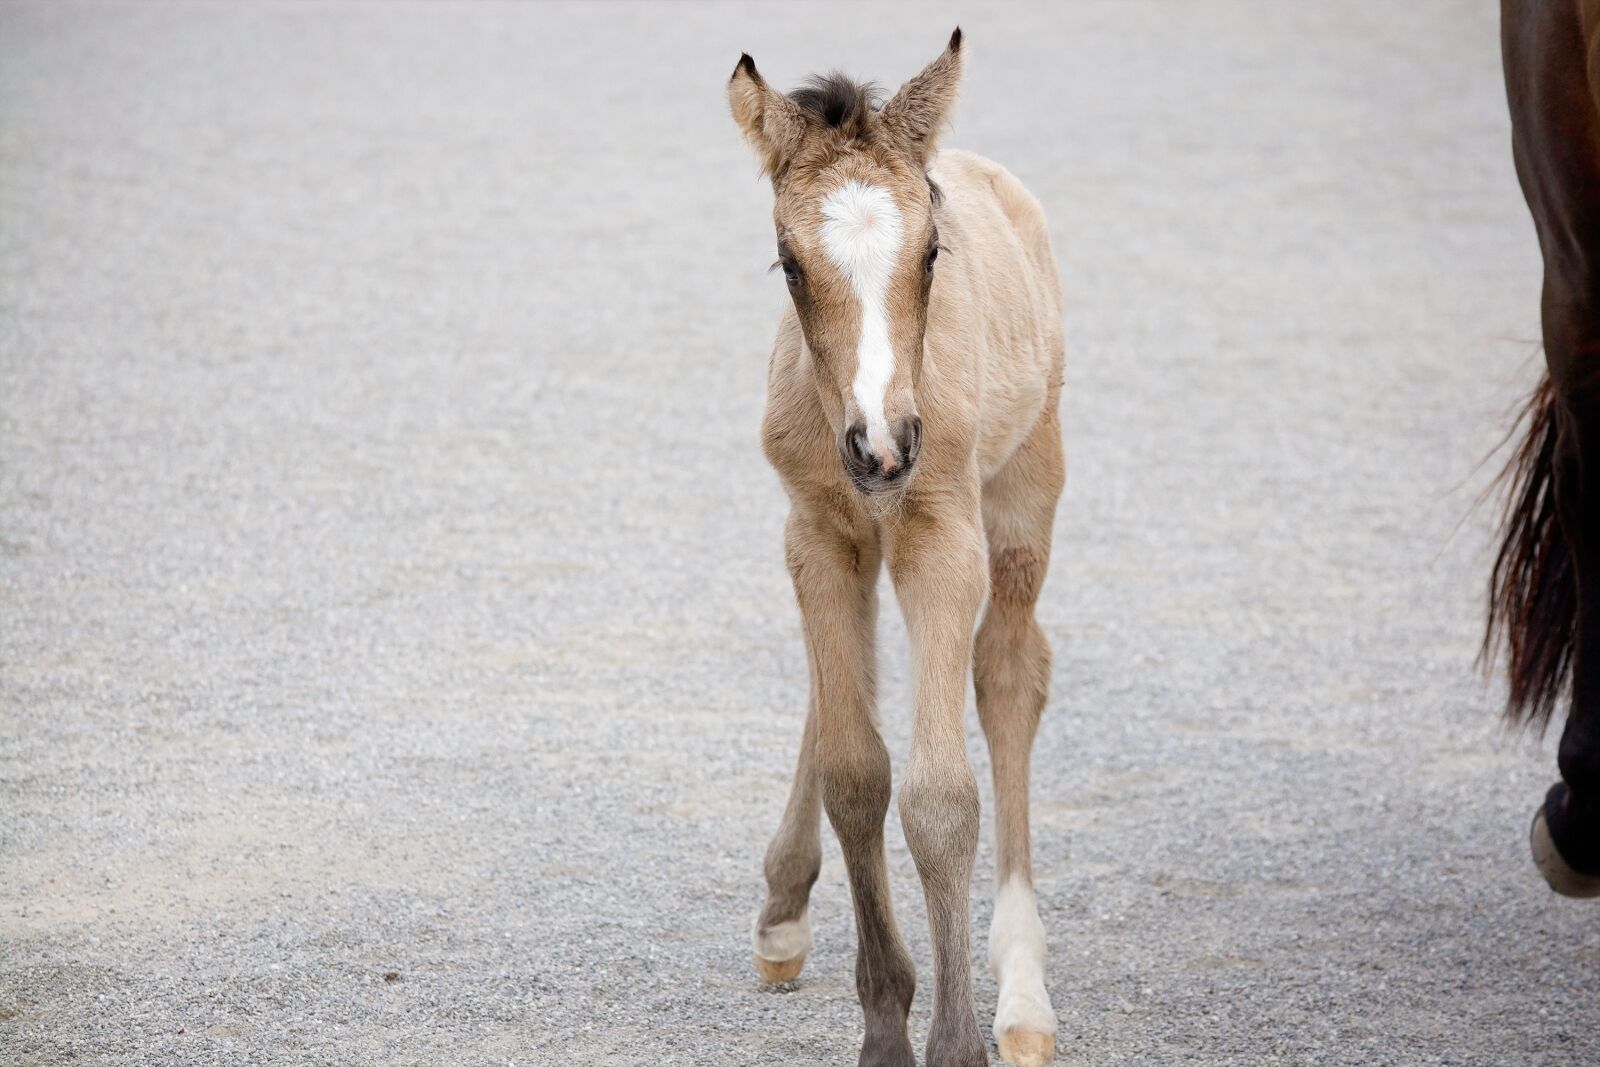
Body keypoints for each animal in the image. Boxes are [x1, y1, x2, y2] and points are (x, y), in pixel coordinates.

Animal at [728, 30, 1065, 1067]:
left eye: (930, 253)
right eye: (788, 262)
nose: (882, 445)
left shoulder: (941, 534)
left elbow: (941, 798)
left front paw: (954, 1040)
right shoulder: (816, 532)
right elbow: (857, 771)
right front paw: (885, 1024)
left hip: (1026, 487)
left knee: (1011, 671)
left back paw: (1024, 996)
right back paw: (783, 908)